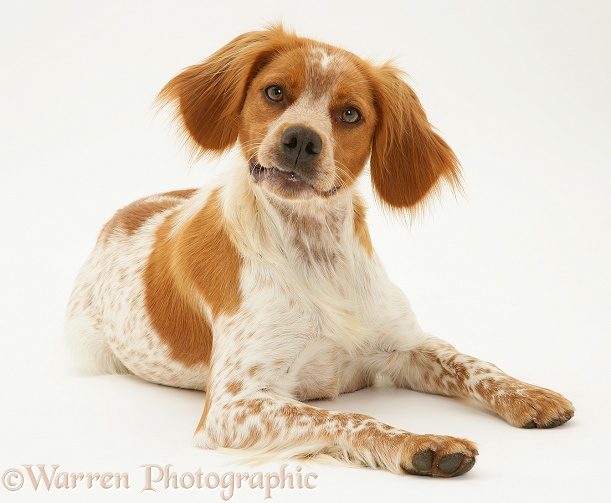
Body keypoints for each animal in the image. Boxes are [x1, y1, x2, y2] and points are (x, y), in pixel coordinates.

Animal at [65, 24, 572, 480]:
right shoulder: (235, 404)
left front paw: (531, 395)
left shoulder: (406, 346)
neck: (316, 253)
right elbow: (350, 419)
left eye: (350, 114)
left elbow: (472, 362)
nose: (302, 139)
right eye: (274, 92)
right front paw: (421, 442)